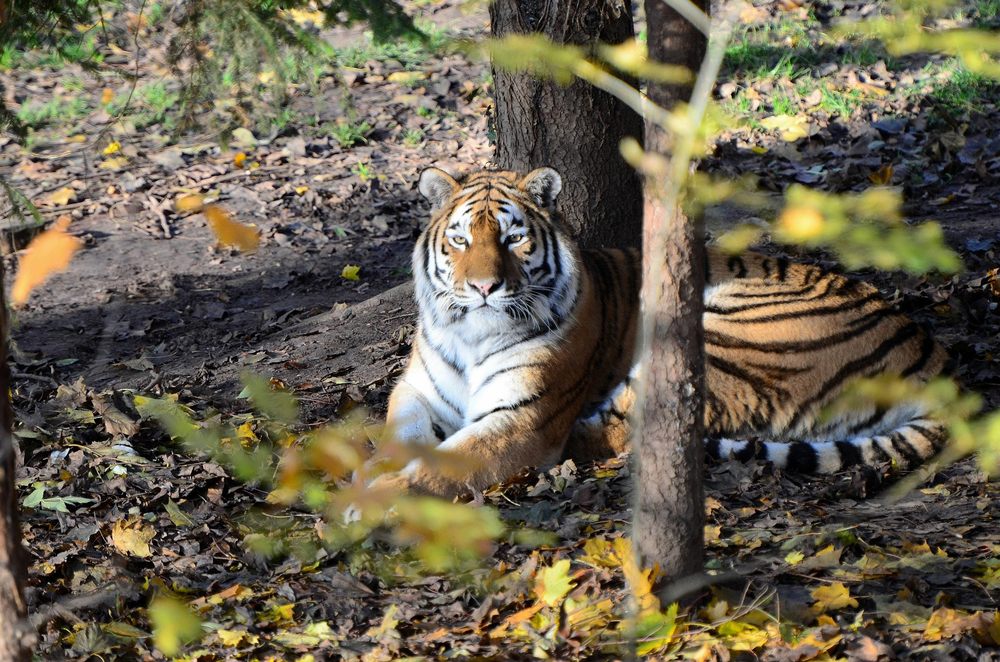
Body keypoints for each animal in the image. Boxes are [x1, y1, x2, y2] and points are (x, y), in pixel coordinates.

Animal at [372, 166, 948, 498]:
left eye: (514, 239)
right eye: (460, 240)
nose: (485, 287)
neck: (471, 334)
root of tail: (931, 358)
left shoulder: (524, 417)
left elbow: (450, 461)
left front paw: (376, 500)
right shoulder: (416, 392)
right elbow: (395, 438)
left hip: (718, 333)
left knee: (618, 432)